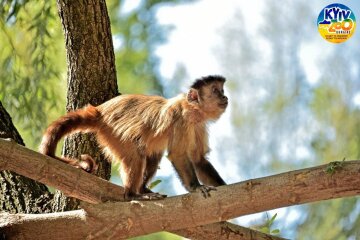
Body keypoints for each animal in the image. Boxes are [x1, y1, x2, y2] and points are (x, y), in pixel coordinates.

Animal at [40, 75, 228, 201]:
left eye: (222, 90)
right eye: (215, 91)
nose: (224, 96)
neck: (193, 110)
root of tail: (101, 111)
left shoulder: (199, 125)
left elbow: (198, 159)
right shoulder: (181, 118)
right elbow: (178, 155)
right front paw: (196, 188)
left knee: (152, 154)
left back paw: (143, 189)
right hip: (116, 133)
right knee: (136, 155)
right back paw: (132, 195)